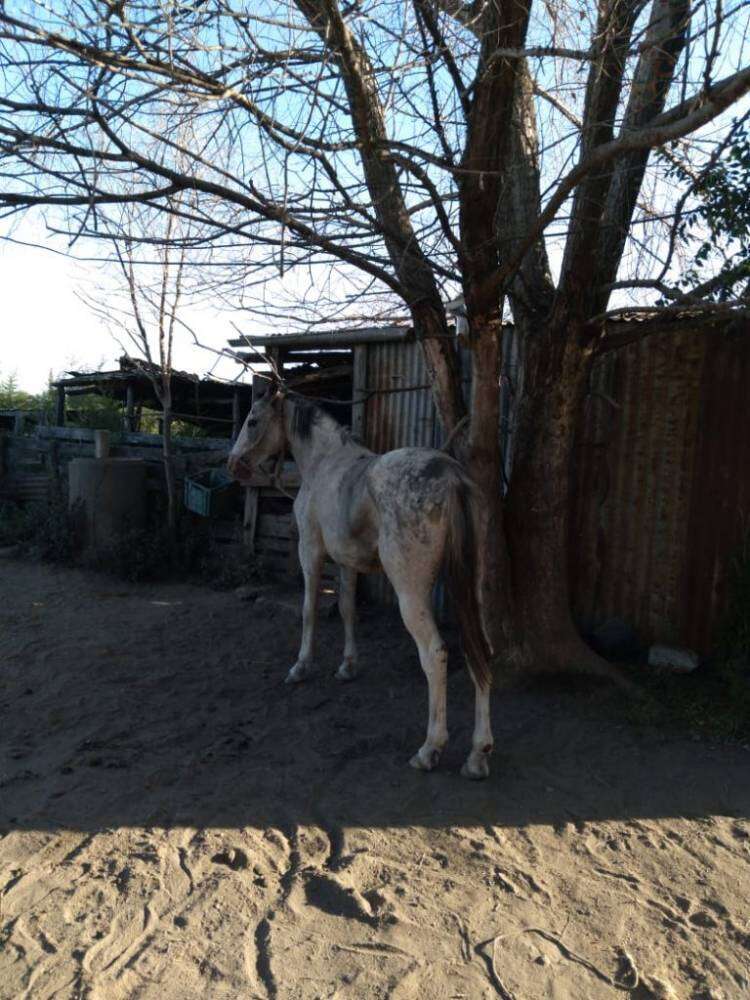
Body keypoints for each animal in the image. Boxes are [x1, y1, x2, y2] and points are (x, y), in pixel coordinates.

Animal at [227, 387, 494, 779]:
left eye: (252, 420)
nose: (233, 464)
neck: (324, 463)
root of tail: (451, 475)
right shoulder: (346, 562)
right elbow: (347, 609)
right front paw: (348, 666)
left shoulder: (311, 552)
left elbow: (309, 610)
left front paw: (301, 667)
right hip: (472, 588)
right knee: (481, 651)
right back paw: (478, 754)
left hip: (411, 593)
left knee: (435, 654)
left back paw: (429, 749)